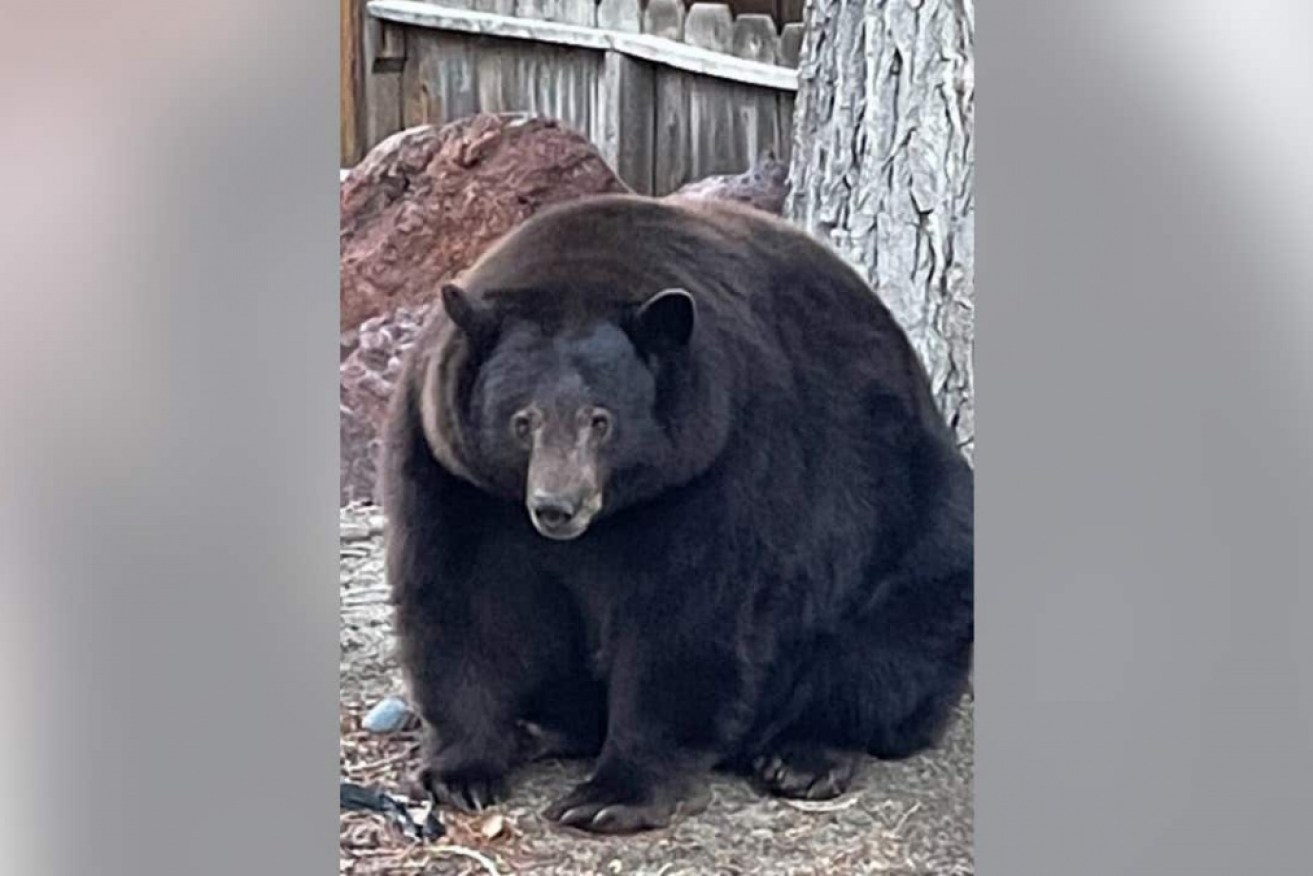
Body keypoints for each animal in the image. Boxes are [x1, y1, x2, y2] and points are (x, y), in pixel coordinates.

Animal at [383, 193, 976, 835]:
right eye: (523, 420)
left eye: (601, 419)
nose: (557, 507)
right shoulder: (452, 470)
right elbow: (463, 598)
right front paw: (461, 771)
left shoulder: (722, 459)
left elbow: (687, 614)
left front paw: (610, 795)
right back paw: (541, 727)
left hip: (911, 524)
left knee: (892, 644)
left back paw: (804, 756)